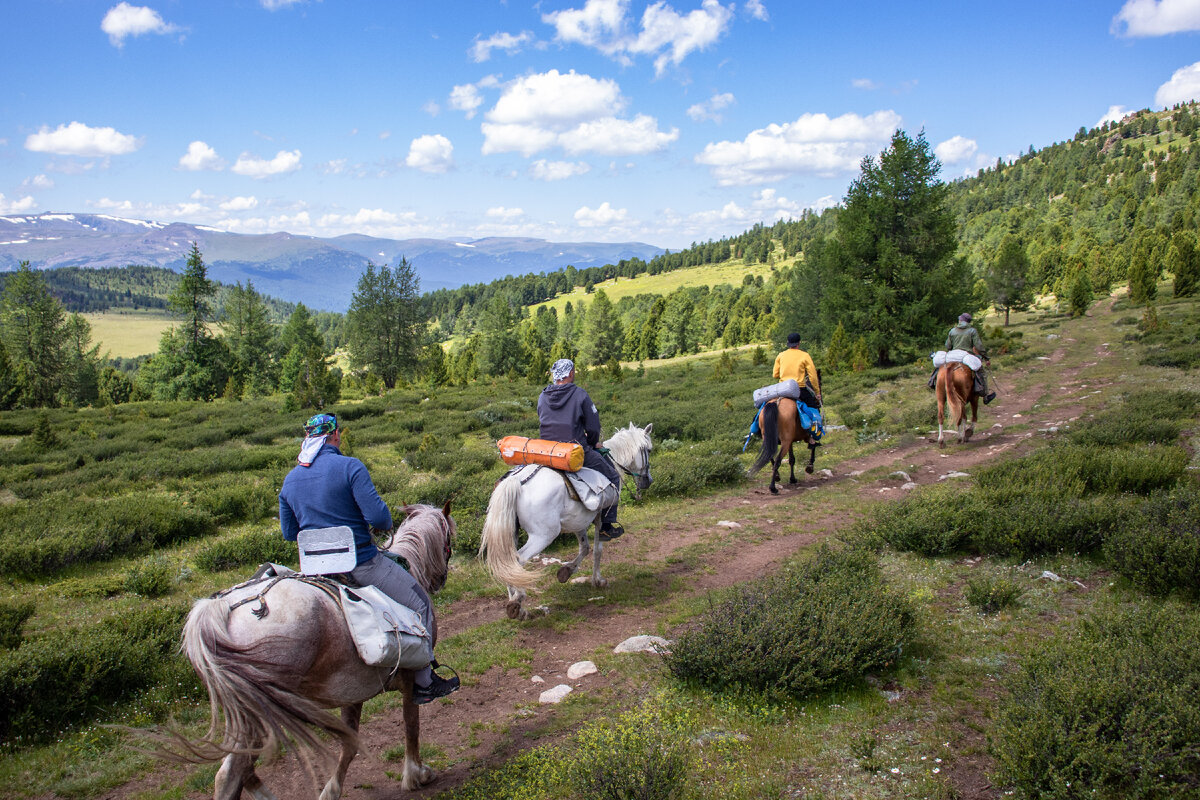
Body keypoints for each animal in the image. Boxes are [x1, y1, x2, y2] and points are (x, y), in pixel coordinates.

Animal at [162, 503, 456, 796]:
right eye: (449, 540)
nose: (442, 579)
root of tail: (219, 610)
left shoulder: (353, 690)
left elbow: (351, 743)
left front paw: (331, 790)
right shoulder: (409, 680)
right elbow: (411, 725)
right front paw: (415, 774)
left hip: (242, 712)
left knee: (236, 771)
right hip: (260, 713)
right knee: (234, 770)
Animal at [477, 422, 652, 623]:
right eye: (649, 449)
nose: (648, 481)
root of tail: (515, 480)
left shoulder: (579, 521)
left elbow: (585, 548)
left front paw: (566, 572)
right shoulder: (600, 518)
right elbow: (598, 550)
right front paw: (598, 581)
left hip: (510, 531)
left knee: (508, 563)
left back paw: (517, 605)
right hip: (543, 535)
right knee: (519, 559)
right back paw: (518, 602)